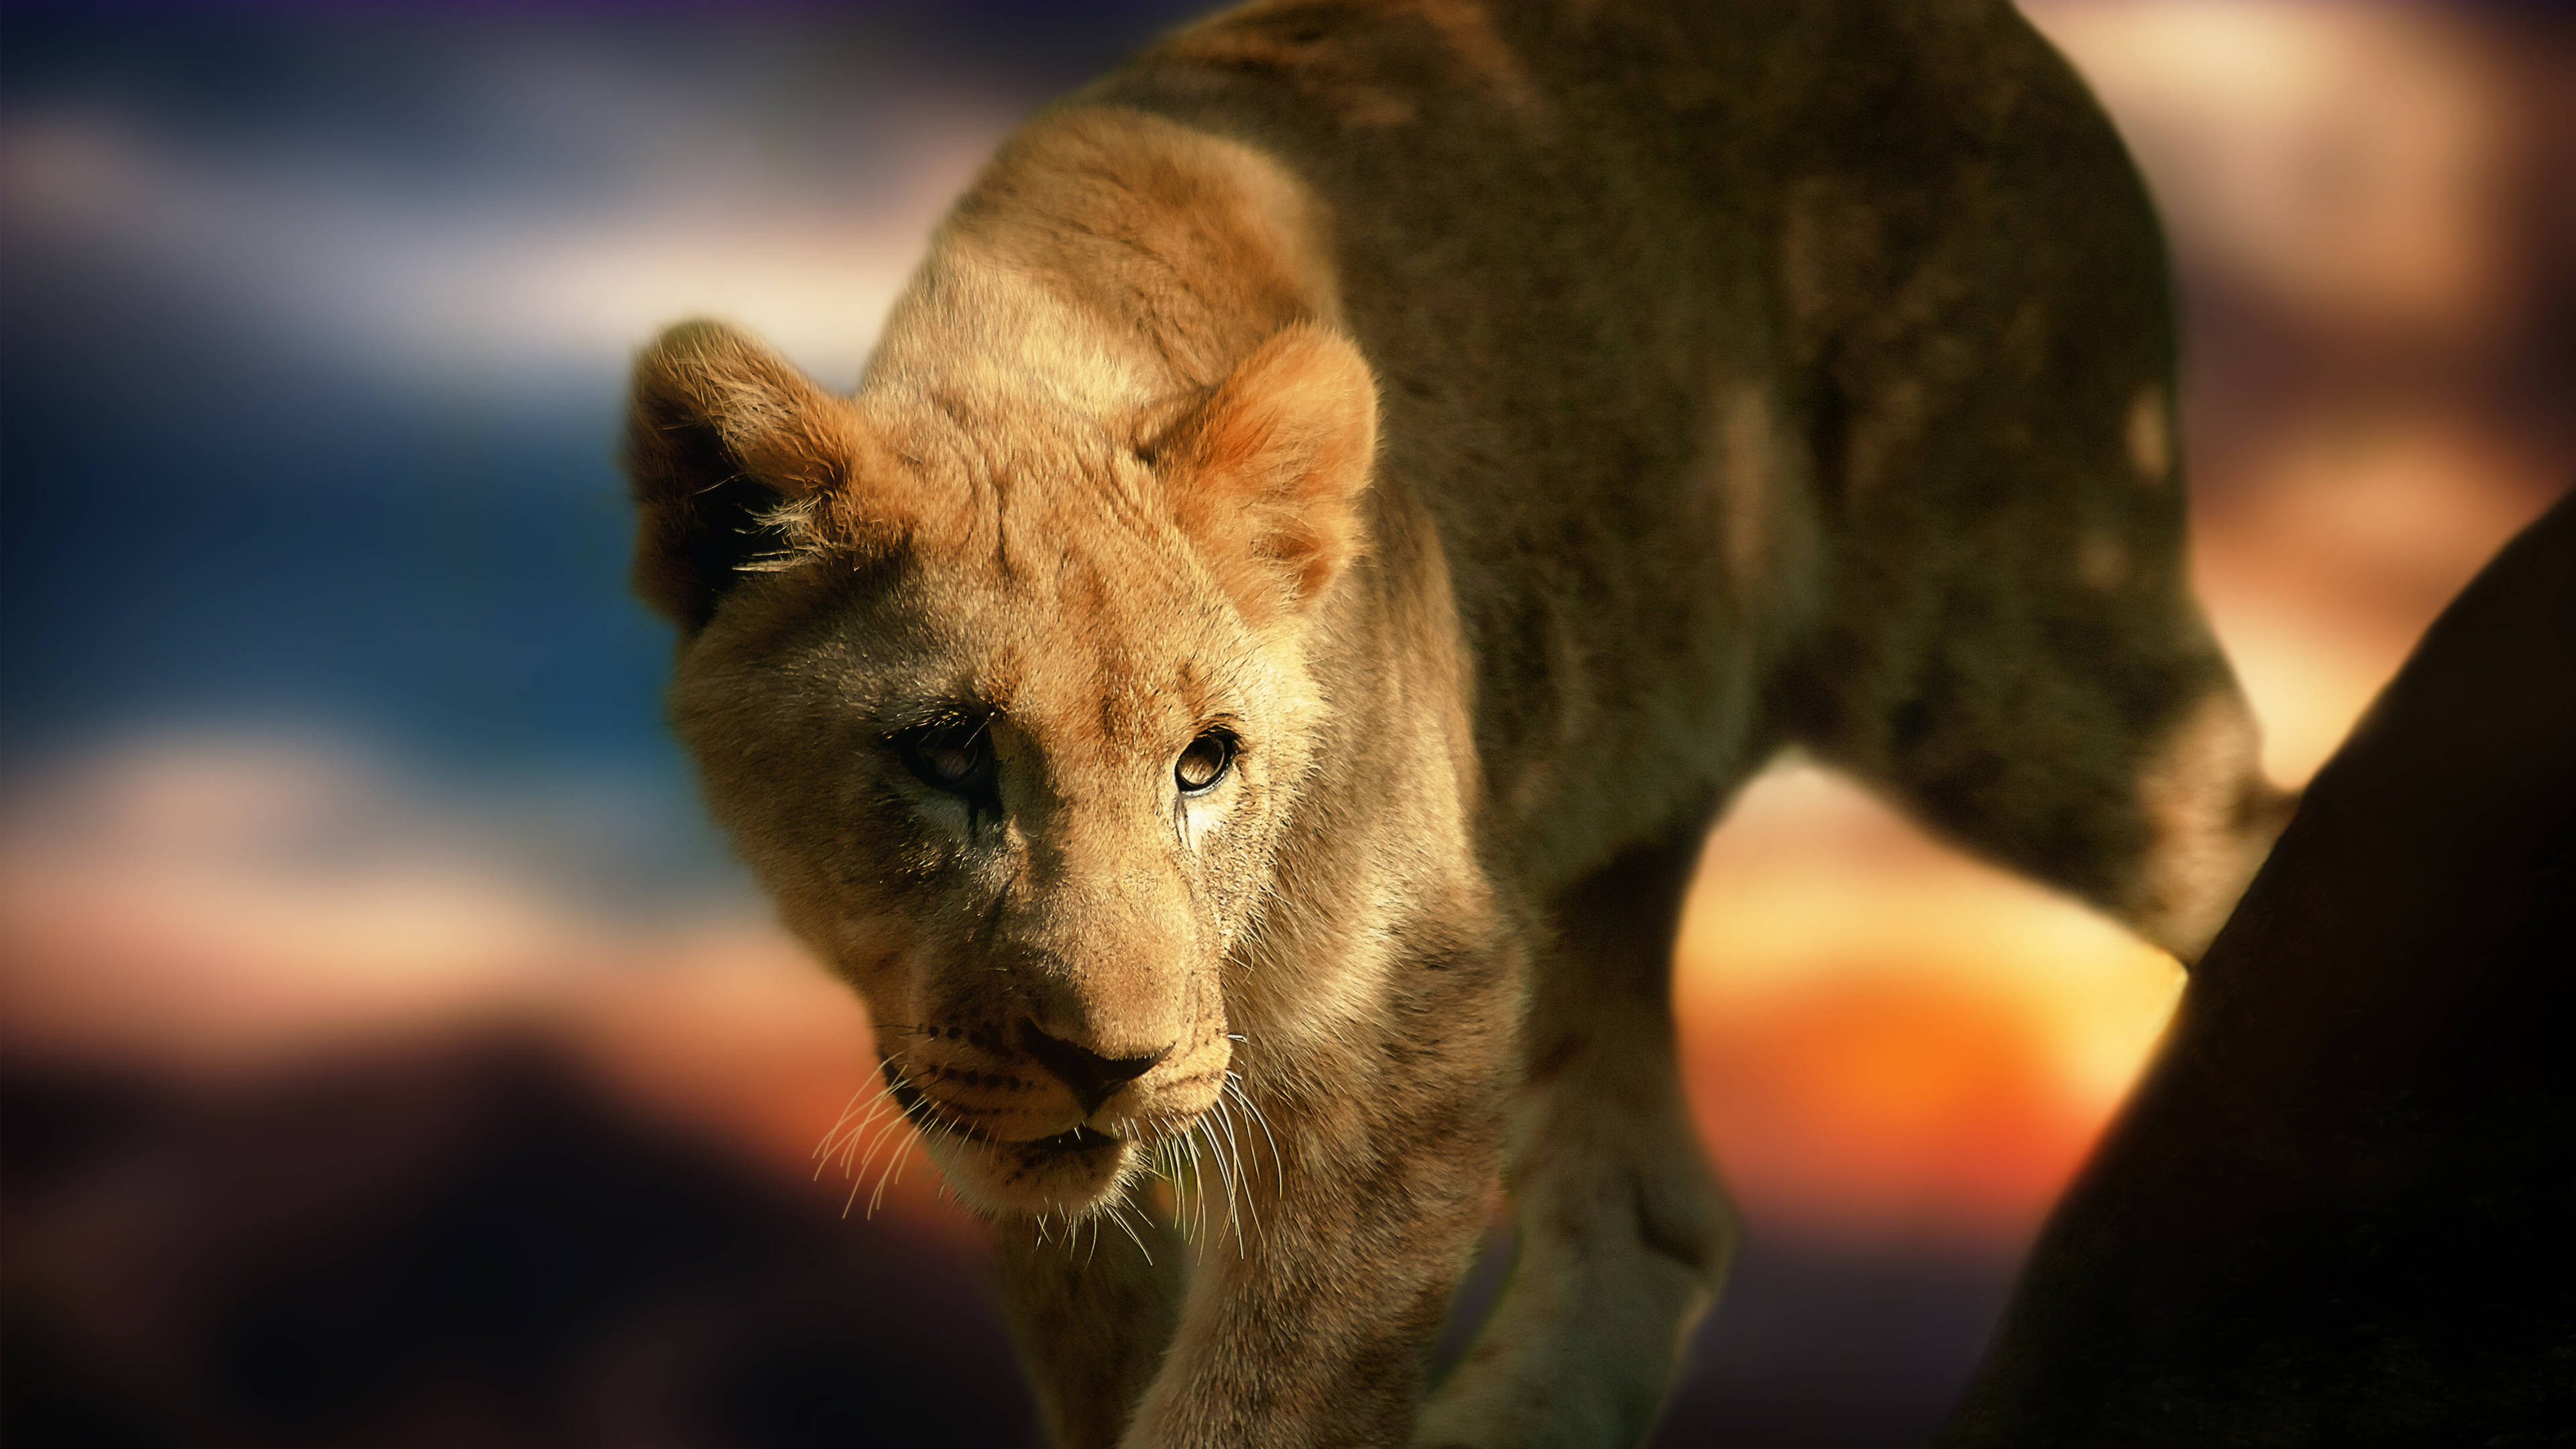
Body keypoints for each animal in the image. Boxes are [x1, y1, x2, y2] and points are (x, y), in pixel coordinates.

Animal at [621, 1, 2292, 1445]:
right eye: (949, 751)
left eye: (1205, 764)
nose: (1111, 1064)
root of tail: (2001, 30)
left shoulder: (1414, 1003)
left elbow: (1265, 1396)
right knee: (1651, 1208)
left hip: (2008, 662)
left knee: (2251, 847)